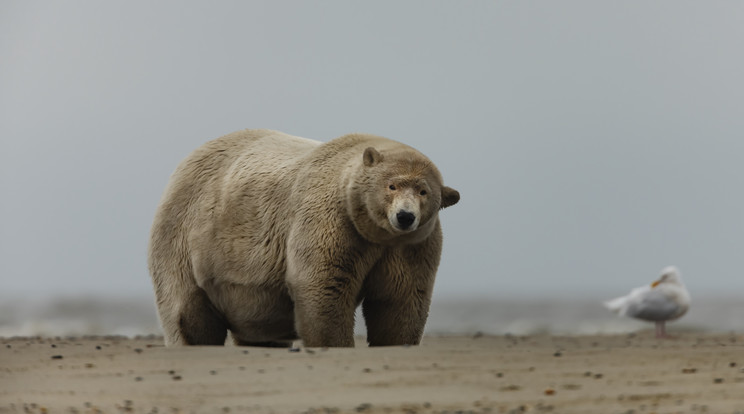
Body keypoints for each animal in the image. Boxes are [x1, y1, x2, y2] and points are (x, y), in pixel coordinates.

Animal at [147, 129, 456, 346]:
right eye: (391, 185)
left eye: (423, 191)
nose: (405, 216)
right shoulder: (331, 221)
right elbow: (323, 286)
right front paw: (335, 343)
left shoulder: (410, 247)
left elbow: (401, 298)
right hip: (186, 237)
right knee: (186, 312)